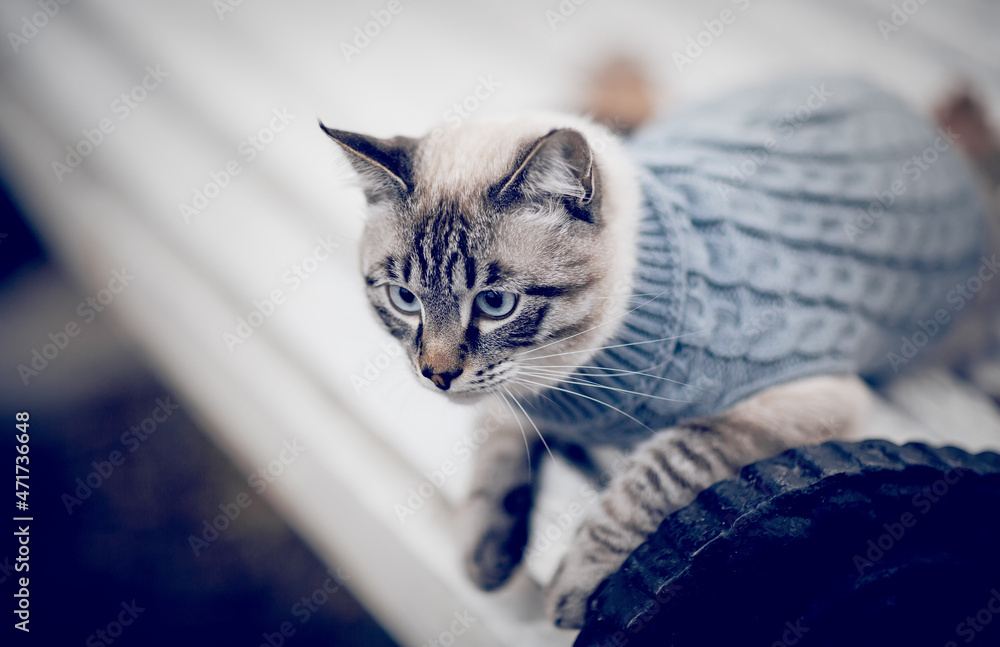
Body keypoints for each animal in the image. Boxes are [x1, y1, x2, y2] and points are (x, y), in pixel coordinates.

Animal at [324, 77, 996, 628]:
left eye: (494, 304)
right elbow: (499, 447)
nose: (436, 376)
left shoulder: (805, 401)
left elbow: (665, 463)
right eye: (405, 298)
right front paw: (486, 554)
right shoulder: (514, 393)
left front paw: (573, 589)